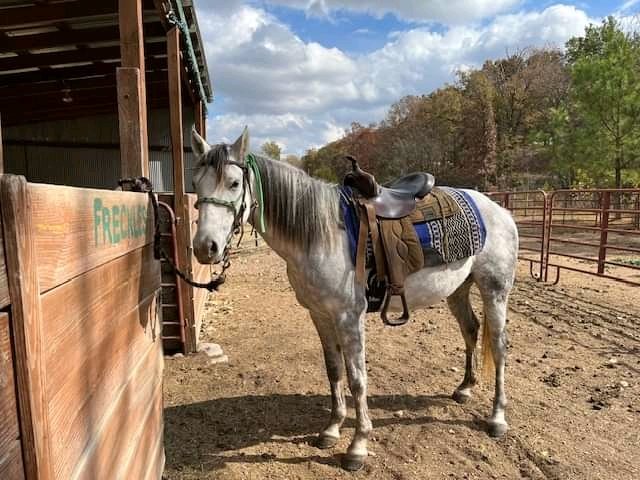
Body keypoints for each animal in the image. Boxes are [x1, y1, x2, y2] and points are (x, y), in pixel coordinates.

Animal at [189, 127, 518, 471]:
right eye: (195, 183)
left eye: (234, 183)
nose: (205, 247)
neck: (321, 235)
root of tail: (499, 210)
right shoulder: (320, 315)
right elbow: (334, 370)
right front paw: (332, 429)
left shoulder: (349, 317)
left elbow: (358, 379)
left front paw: (358, 446)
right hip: (458, 289)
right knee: (470, 330)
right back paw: (465, 388)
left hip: (495, 290)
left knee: (499, 347)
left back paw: (497, 418)